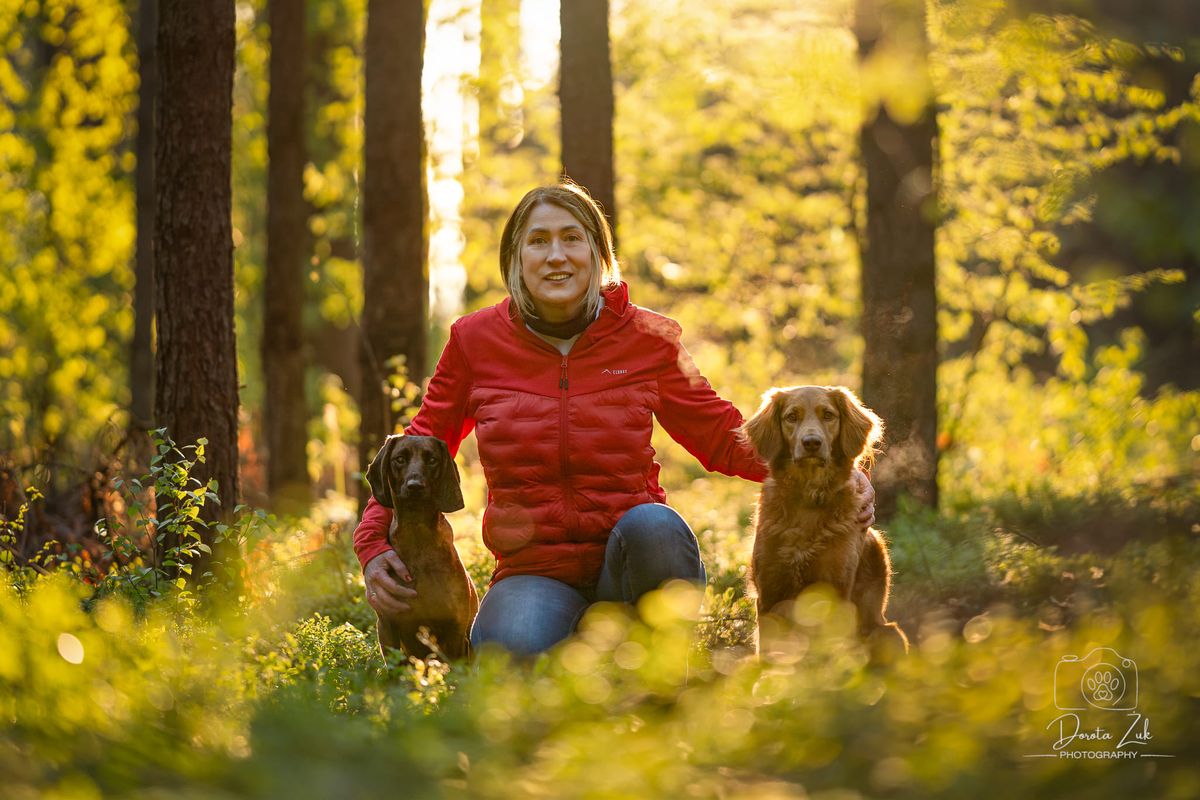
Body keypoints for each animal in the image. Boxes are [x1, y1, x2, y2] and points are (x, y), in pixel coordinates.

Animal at [364, 434, 477, 662]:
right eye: (400, 459)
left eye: (432, 460)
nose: (415, 486)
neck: (417, 535)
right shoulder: (387, 627)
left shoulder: (455, 631)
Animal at [739, 383, 907, 652]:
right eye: (791, 416)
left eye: (828, 415)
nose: (811, 443)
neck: (809, 498)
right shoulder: (770, 596)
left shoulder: (835, 591)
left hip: (888, 633)